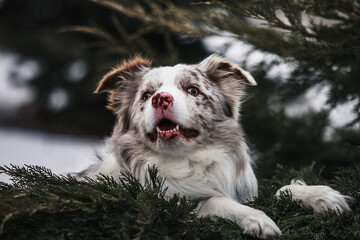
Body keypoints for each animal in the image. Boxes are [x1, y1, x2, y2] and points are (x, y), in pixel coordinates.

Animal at [82, 54, 352, 238]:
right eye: (147, 95)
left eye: (192, 90)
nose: (160, 99)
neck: (185, 161)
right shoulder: (173, 210)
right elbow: (213, 200)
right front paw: (255, 217)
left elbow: (280, 190)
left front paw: (320, 196)